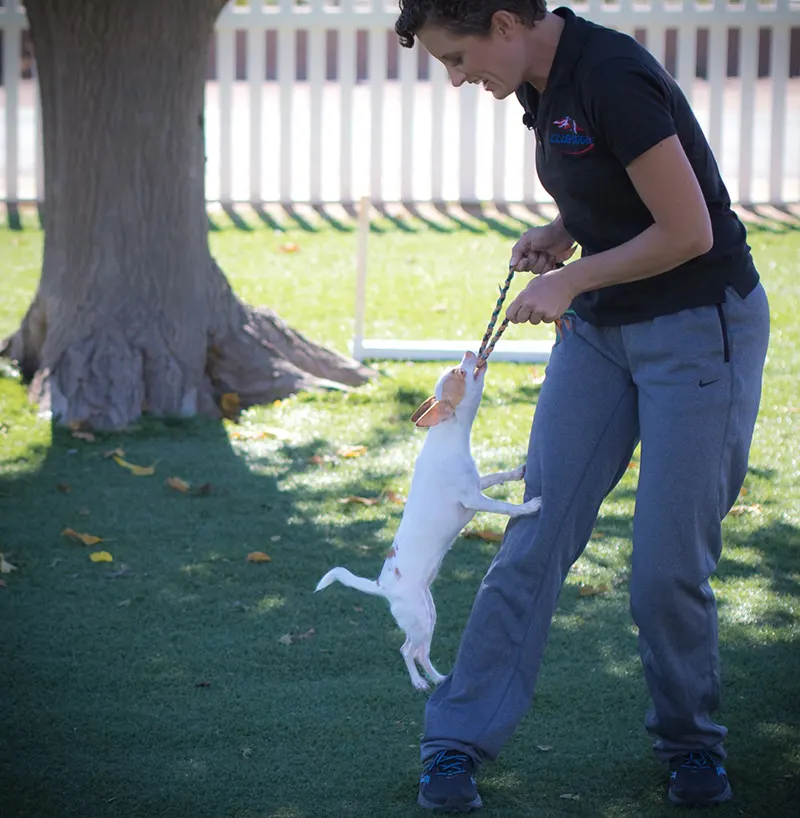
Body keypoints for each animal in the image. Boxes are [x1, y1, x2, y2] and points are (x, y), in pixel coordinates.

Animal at [316, 350, 540, 688]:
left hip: (428, 615)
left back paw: (438, 678)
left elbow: (497, 476)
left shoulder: (477, 485)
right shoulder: (473, 499)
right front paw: (528, 509)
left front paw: (516, 472)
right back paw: (419, 682)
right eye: (459, 372)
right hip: (419, 619)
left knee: (421, 651)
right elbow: (503, 507)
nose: (470, 353)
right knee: (407, 650)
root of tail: (381, 585)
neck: (447, 436)